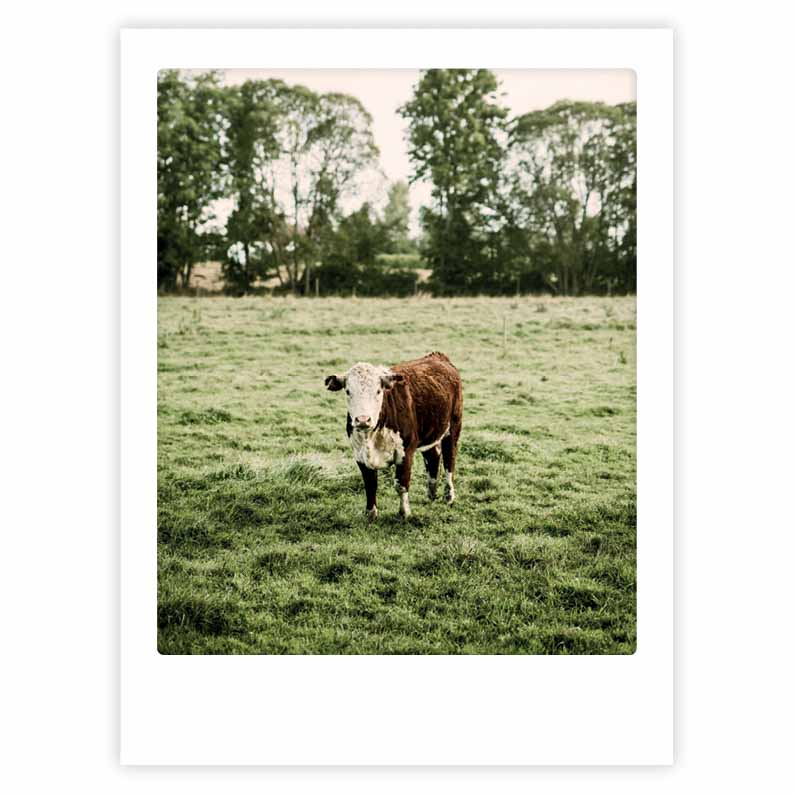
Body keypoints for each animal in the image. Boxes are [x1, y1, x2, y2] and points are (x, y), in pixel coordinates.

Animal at [324, 352, 463, 521]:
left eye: (378, 391)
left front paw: (404, 513)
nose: (363, 419)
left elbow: (401, 485)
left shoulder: (406, 452)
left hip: (454, 426)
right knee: (433, 456)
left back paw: (448, 496)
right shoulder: (359, 455)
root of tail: (437, 356)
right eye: (348, 391)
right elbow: (370, 484)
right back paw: (431, 493)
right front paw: (370, 514)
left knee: (450, 459)